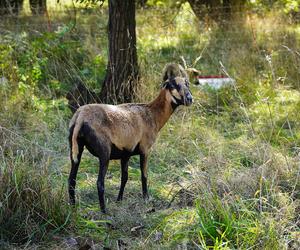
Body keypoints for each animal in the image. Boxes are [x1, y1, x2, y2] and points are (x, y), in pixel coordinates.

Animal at [67, 63, 192, 213]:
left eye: (187, 84)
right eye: (174, 85)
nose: (190, 99)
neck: (152, 114)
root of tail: (80, 117)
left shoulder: (125, 153)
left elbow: (124, 177)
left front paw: (119, 200)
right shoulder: (145, 149)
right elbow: (144, 175)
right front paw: (146, 198)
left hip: (75, 147)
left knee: (71, 180)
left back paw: (73, 207)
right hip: (104, 151)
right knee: (99, 182)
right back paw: (104, 211)